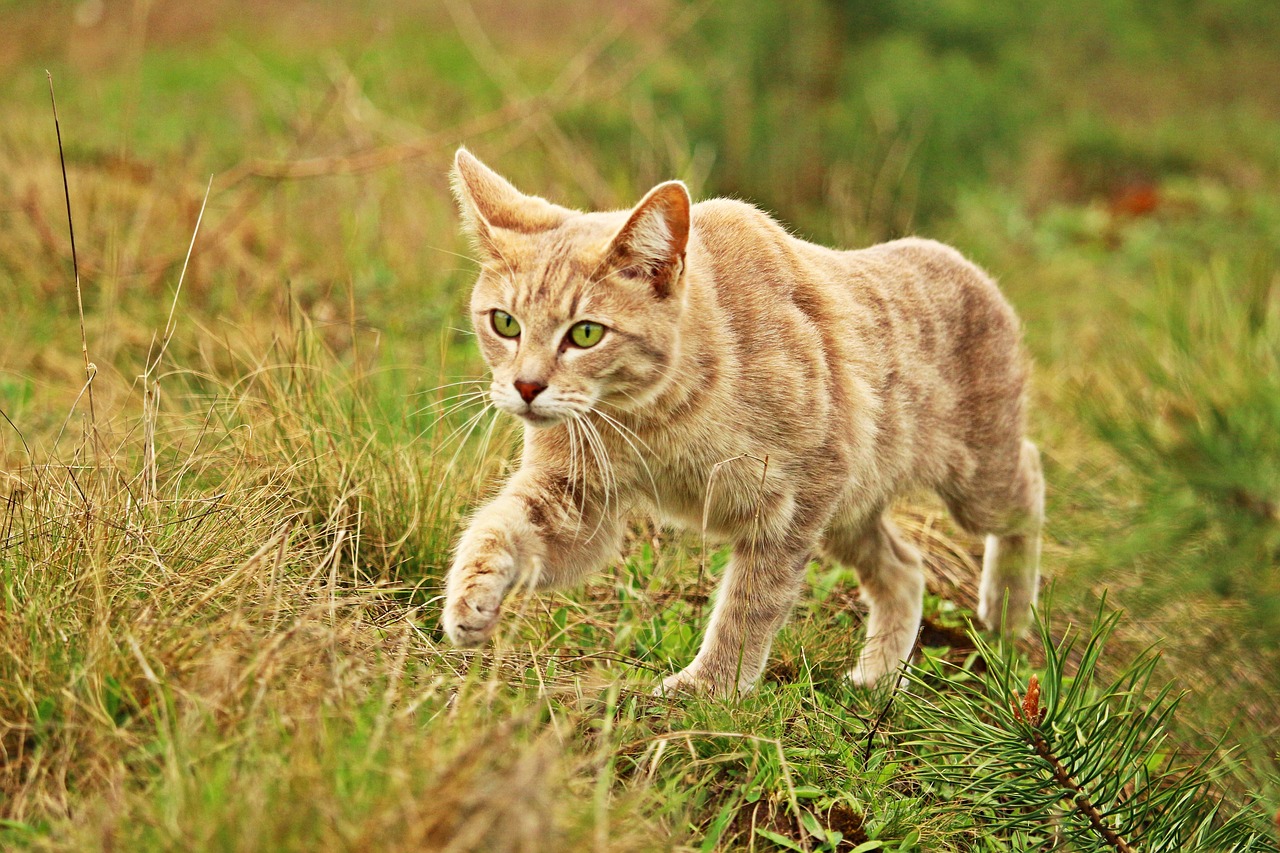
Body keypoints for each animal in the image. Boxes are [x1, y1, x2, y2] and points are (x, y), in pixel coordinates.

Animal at [440, 144, 1039, 691]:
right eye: (504, 323)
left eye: (586, 333)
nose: (526, 387)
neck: (655, 421)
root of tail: (964, 264)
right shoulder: (579, 503)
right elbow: (499, 526)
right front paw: (471, 594)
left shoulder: (792, 505)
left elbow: (749, 607)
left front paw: (710, 689)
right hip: (850, 514)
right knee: (905, 568)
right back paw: (877, 677)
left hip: (974, 482)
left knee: (1028, 482)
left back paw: (1007, 614)